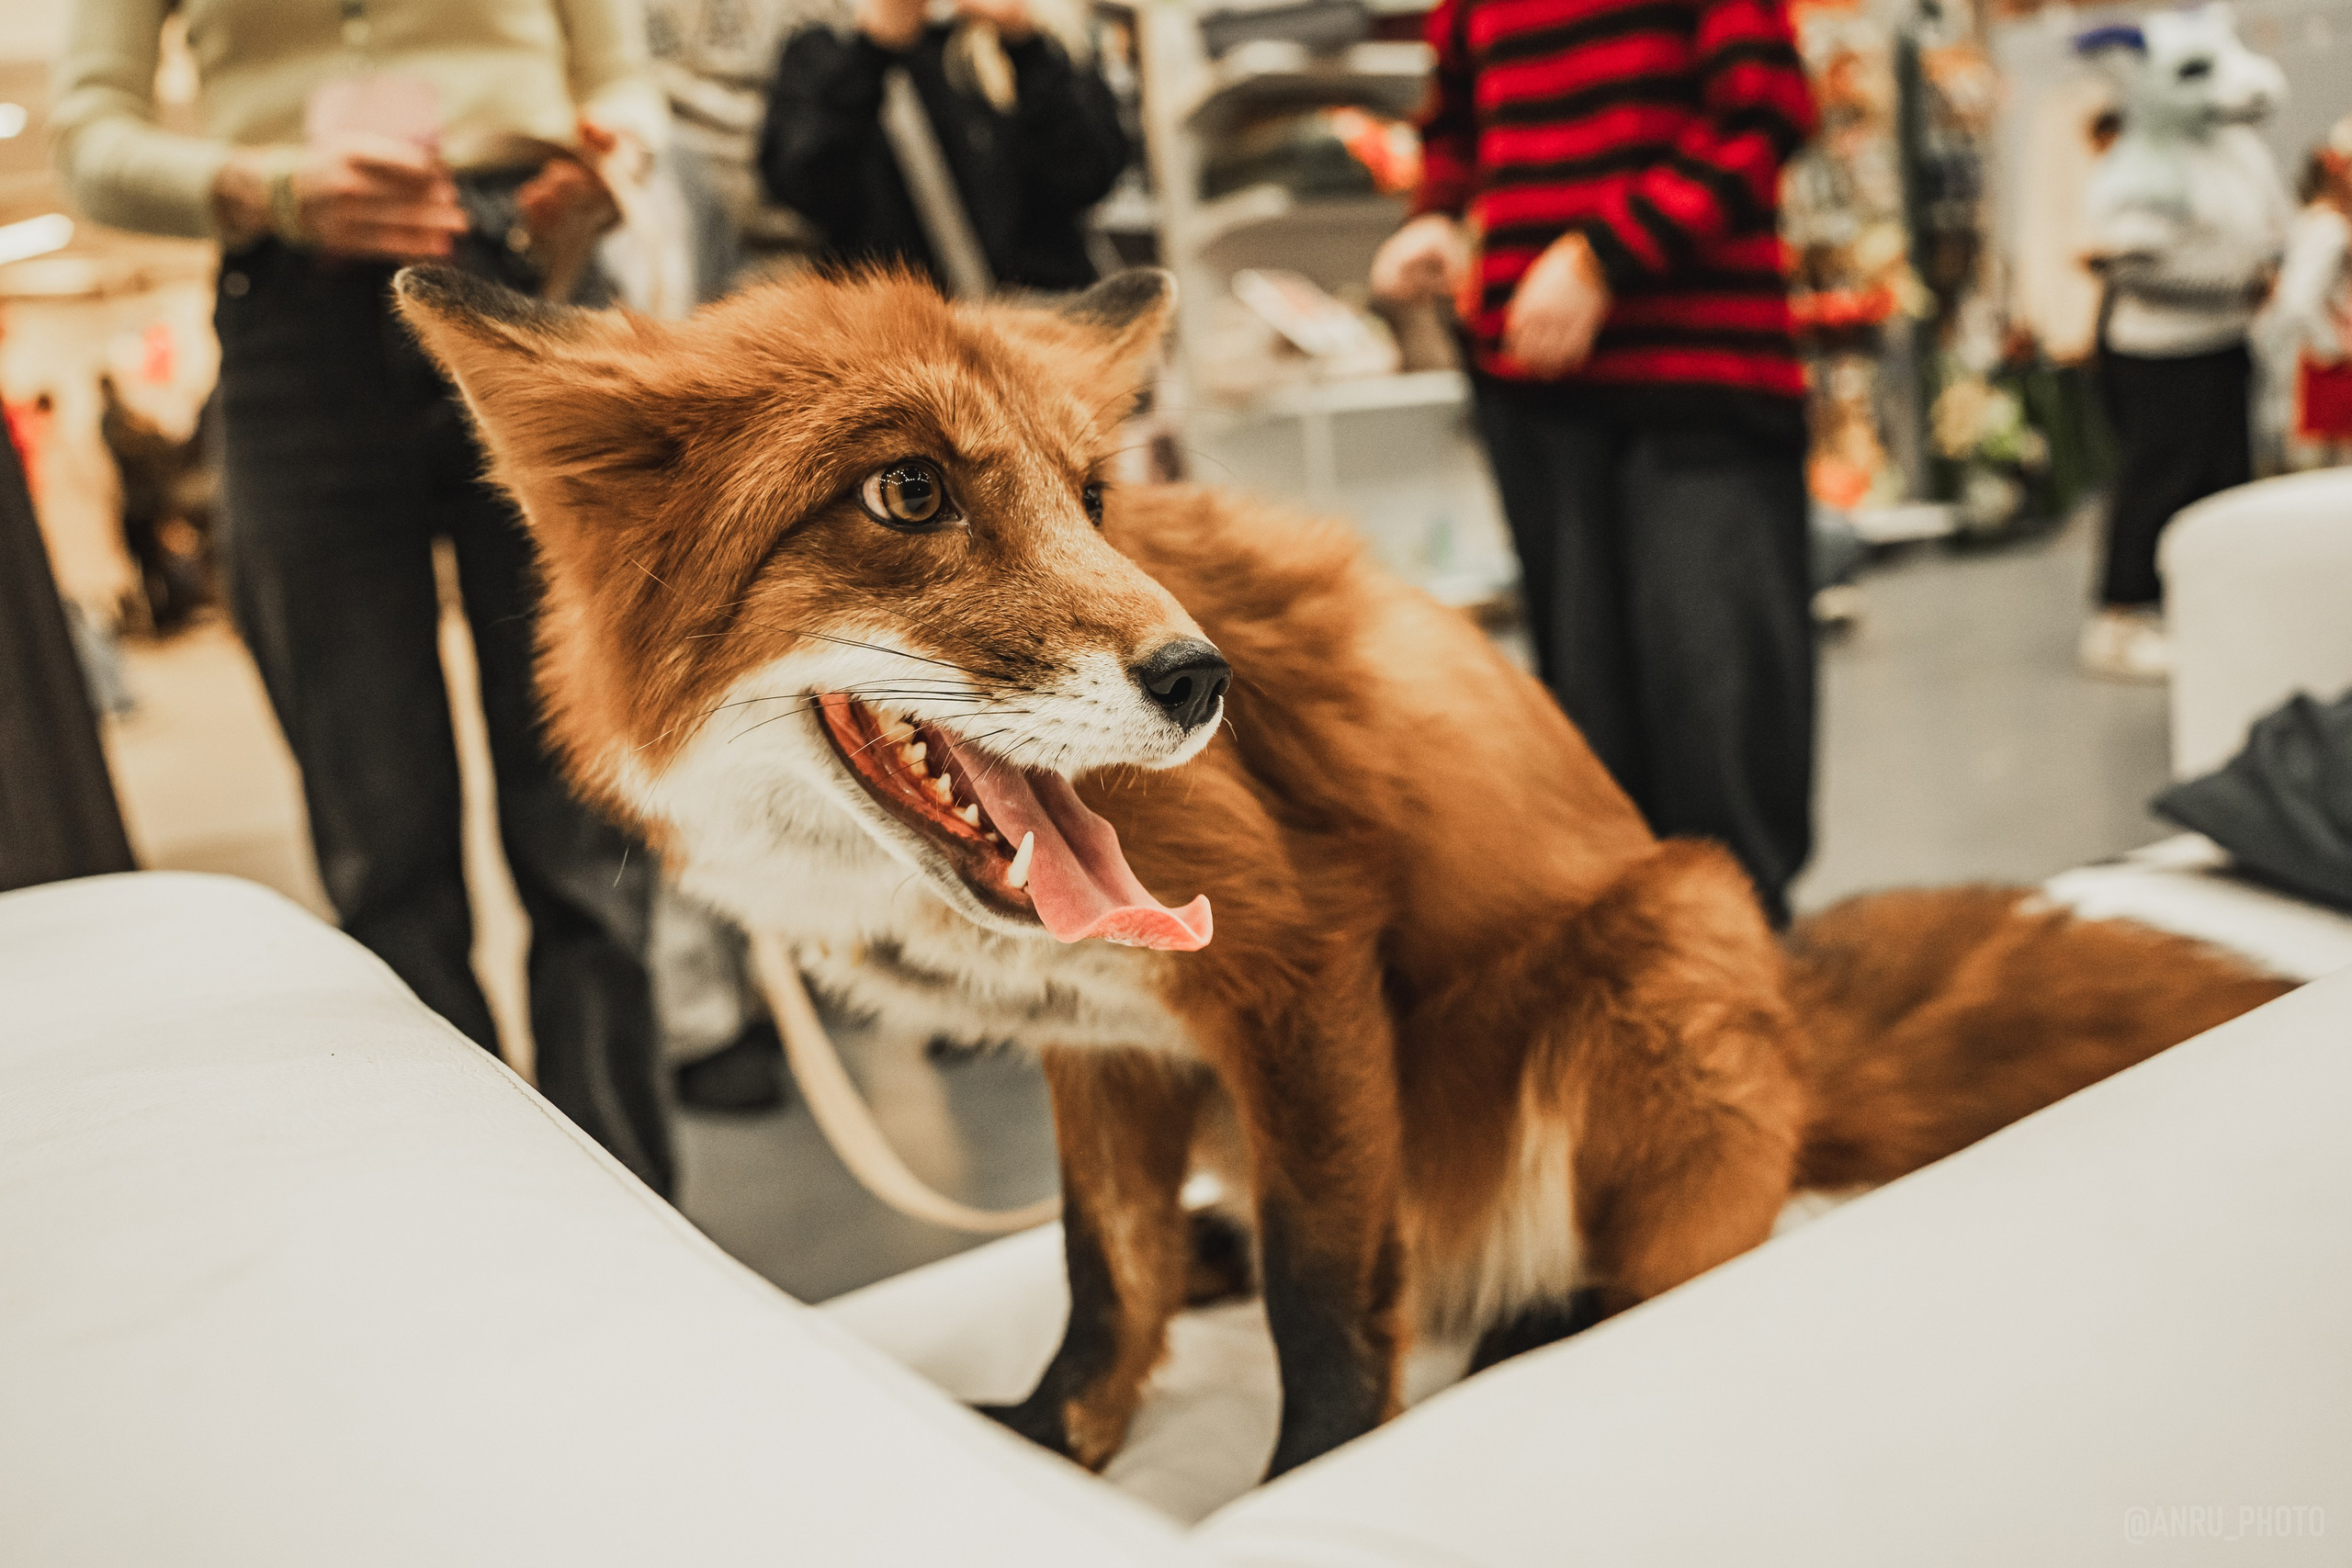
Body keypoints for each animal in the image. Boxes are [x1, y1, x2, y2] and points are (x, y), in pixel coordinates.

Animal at [394, 263, 2290, 1479]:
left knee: (1668, 1252)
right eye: (909, 492)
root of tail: (1806, 1043)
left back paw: (1544, 1323)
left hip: (1658, 939)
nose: (1202, 678)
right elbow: (1103, 1276)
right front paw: (1052, 1437)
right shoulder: (1105, 1048)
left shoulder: (1293, 966)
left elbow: (1325, 1297)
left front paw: (1312, 1481)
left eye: (1093, 496)